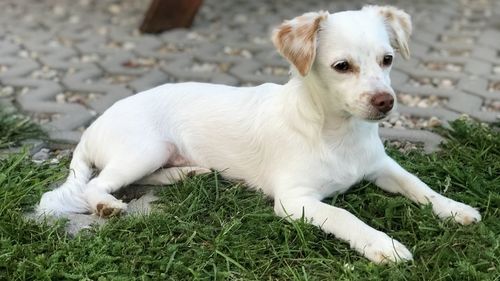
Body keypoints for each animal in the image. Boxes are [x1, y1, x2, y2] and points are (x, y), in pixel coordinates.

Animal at [38, 4, 480, 262]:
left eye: (387, 59)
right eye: (342, 67)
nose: (385, 102)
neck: (338, 132)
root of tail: (91, 127)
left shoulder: (382, 166)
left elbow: (420, 186)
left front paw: (455, 209)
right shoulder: (294, 200)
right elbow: (344, 215)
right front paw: (381, 244)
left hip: (156, 154)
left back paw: (188, 172)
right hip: (144, 148)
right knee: (97, 184)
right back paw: (107, 205)